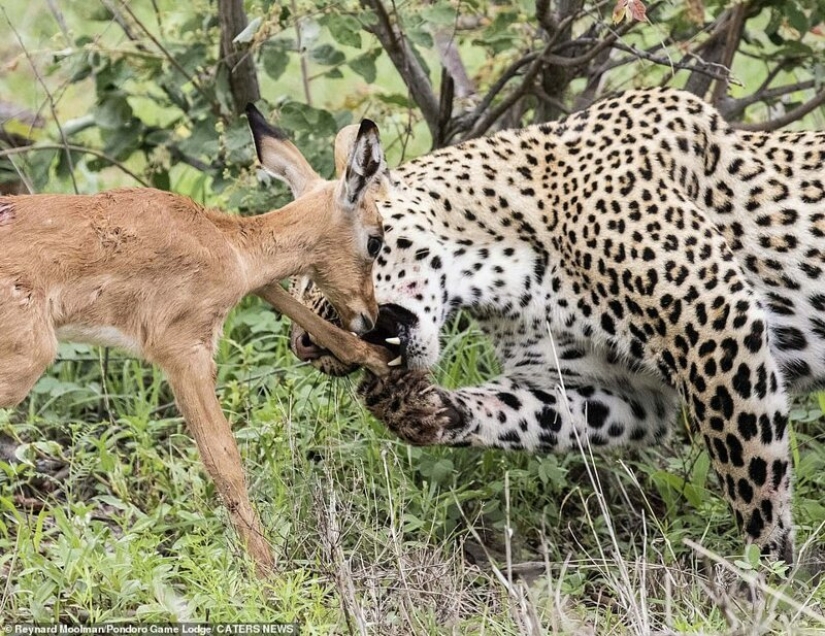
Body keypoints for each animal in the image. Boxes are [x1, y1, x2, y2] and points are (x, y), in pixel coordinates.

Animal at [0, 105, 387, 577]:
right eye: (375, 239)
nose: (369, 318)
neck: (226, 245)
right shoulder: (184, 350)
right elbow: (225, 461)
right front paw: (268, 576)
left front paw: (378, 359)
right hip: (28, 361)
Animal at [287, 87, 825, 566]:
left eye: (314, 283)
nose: (303, 346)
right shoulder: (609, 388)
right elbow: (521, 413)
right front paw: (413, 407)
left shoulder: (717, 325)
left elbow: (754, 476)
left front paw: (767, 578)